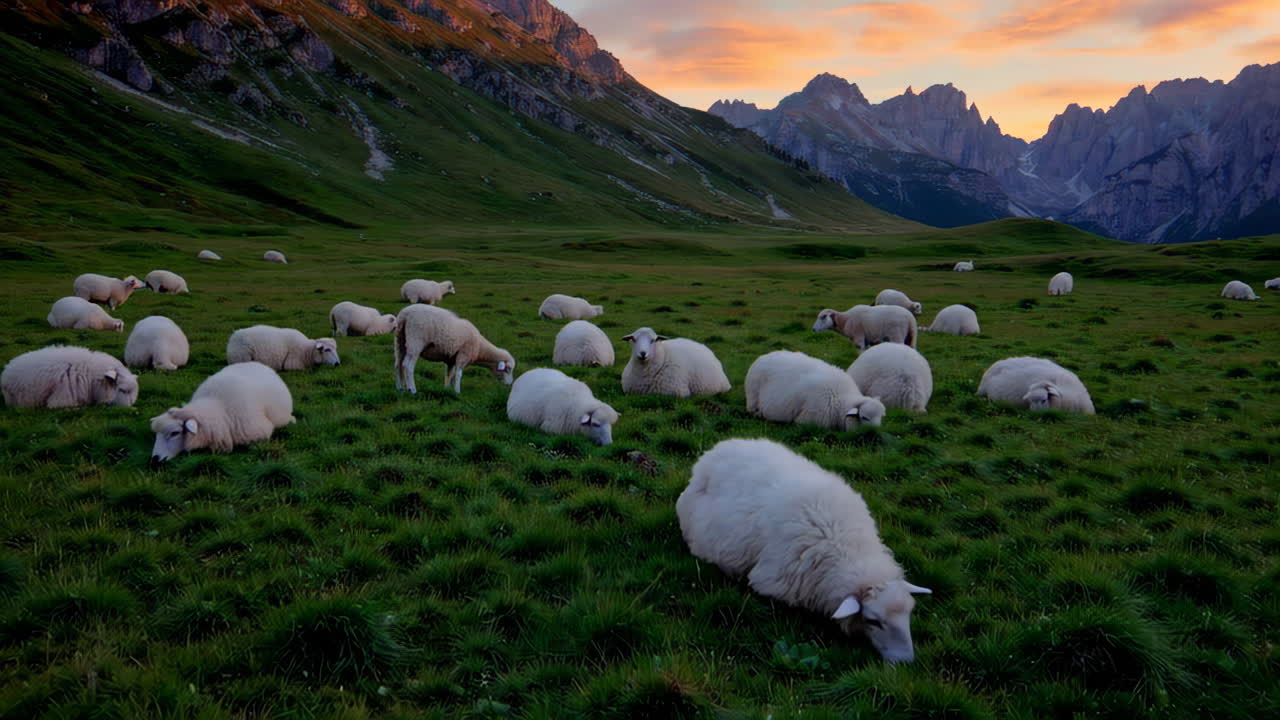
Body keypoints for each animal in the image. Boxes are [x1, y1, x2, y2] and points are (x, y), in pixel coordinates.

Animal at [745, 351, 885, 429]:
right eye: (864, 417)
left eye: (880, 417)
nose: (874, 432)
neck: (841, 399)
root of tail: (763, 356)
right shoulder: (809, 419)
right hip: (753, 397)